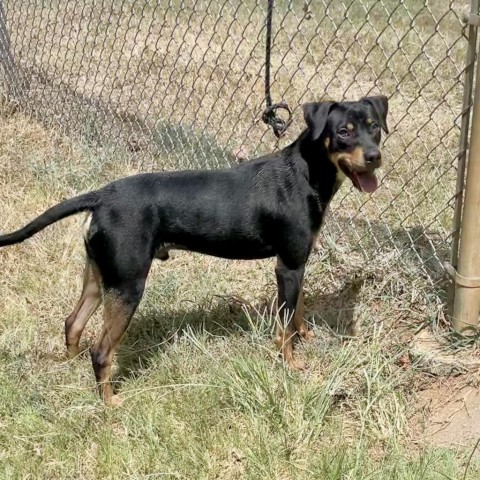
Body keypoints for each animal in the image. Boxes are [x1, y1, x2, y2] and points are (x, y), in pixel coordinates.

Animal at [0, 96, 386, 404]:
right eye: (344, 132)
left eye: (375, 128)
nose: (375, 156)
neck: (306, 172)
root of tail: (102, 196)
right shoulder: (288, 266)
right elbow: (285, 325)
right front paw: (291, 363)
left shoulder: (296, 263)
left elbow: (298, 311)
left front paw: (305, 334)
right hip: (127, 285)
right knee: (101, 350)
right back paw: (110, 403)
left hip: (99, 276)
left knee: (73, 323)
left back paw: (70, 372)